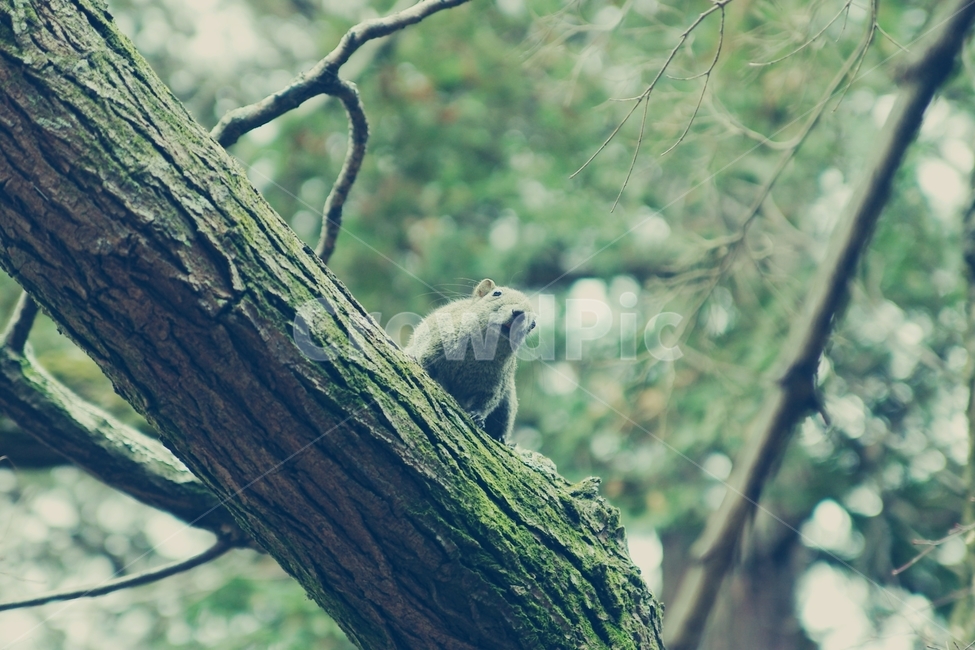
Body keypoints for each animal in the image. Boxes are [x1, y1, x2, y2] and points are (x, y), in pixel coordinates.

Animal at [405, 279, 536, 442]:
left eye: (533, 323)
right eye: (497, 293)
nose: (519, 313)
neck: (479, 351)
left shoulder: (495, 382)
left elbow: (487, 401)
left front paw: (478, 417)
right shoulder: (435, 345)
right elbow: (426, 364)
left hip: (508, 400)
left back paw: (502, 439)